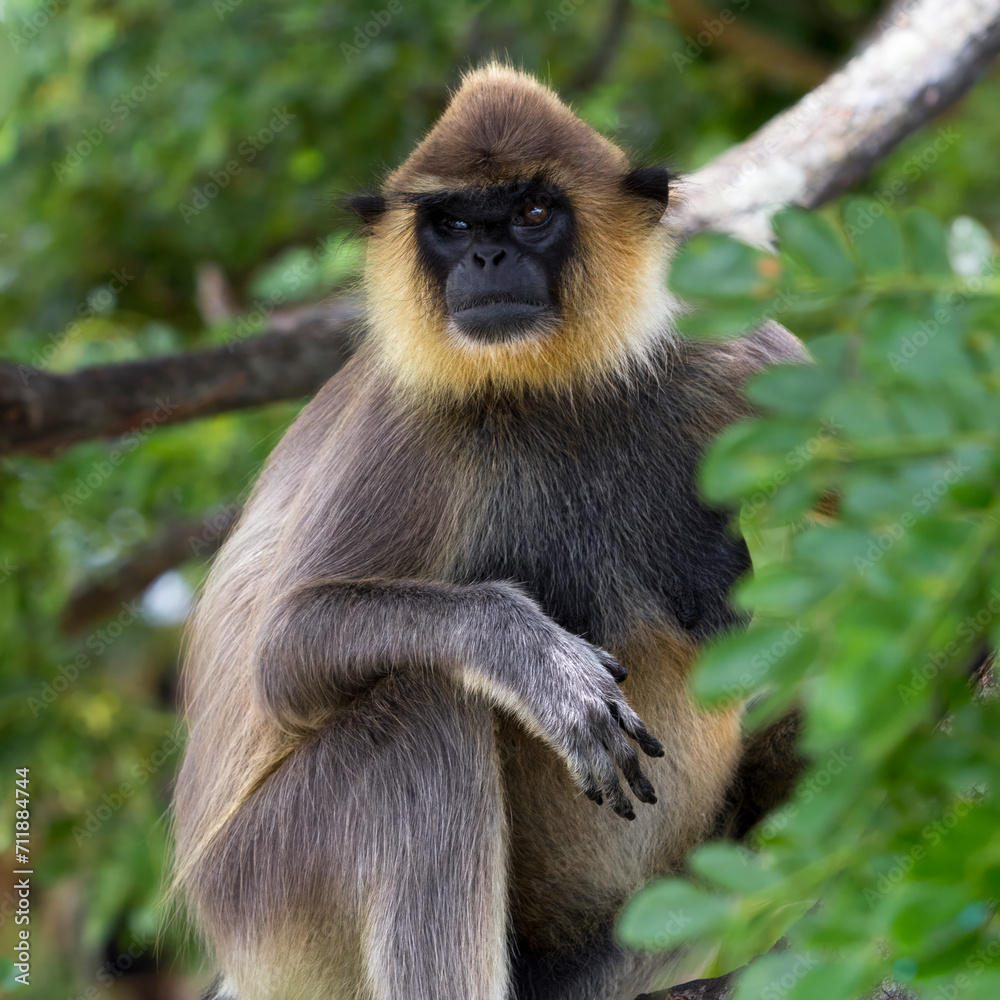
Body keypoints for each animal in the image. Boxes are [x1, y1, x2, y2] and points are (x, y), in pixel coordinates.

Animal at [171, 63, 806, 1000]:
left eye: (534, 213)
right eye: (455, 223)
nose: (487, 257)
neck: (546, 384)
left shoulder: (719, 345)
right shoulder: (409, 421)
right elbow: (284, 655)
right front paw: (532, 658)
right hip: (265, 888)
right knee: (422, 723)